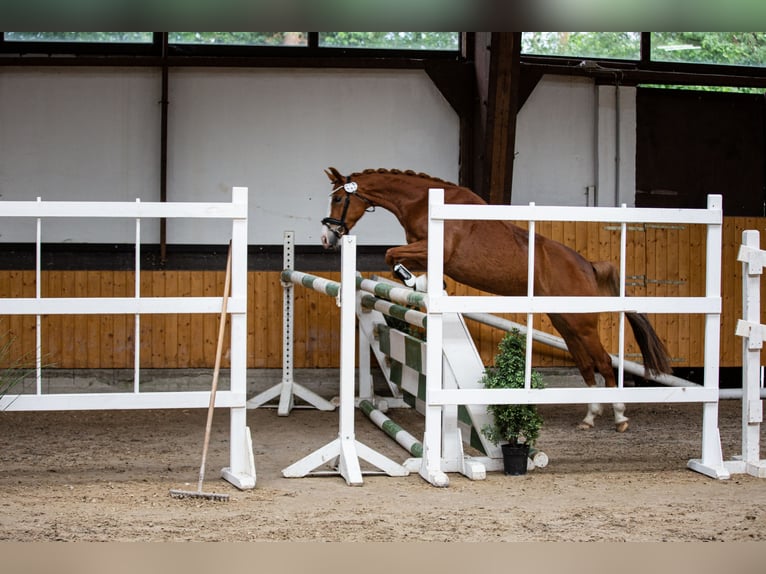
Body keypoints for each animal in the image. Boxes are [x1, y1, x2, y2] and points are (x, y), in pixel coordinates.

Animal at [320, 166, 672, 432]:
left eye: (338, 198)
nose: (328, 238)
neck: (423, 202)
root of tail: (587, 265)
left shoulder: (435, 249)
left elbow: (391, 254)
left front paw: (415, 281)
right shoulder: (424, 250)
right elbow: (394, 256)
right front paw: (422, 282)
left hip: (581, 323)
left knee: (604, 362)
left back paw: (620, 416)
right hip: (565, 322)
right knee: (586, 364)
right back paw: (589, 417)